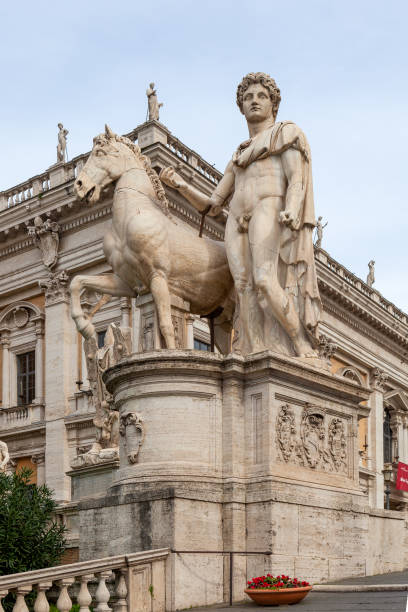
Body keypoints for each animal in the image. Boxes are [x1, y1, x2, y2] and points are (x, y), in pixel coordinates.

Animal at [71, 125, 233, 350]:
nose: (79, 185)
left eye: (100, 153)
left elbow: (166, 325)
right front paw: (85, 327)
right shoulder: (126, 283)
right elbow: (77, 282)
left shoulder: (158, 277)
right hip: (221, 317)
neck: (133, 213)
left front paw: (172, 354)